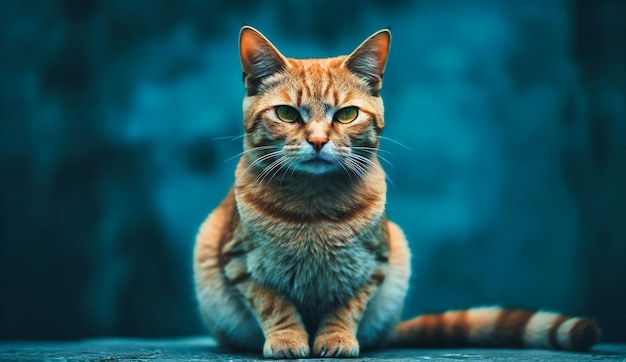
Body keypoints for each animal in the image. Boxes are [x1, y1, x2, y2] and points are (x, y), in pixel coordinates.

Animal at [191, 26, 600, 360]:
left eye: (346, 115)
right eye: (288, 114)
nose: (318, 141)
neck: (314, 206)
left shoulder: (375, 263)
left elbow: (345, 308)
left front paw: (336, 338)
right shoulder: (238, 261)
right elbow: (273, 304)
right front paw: (289, 339)